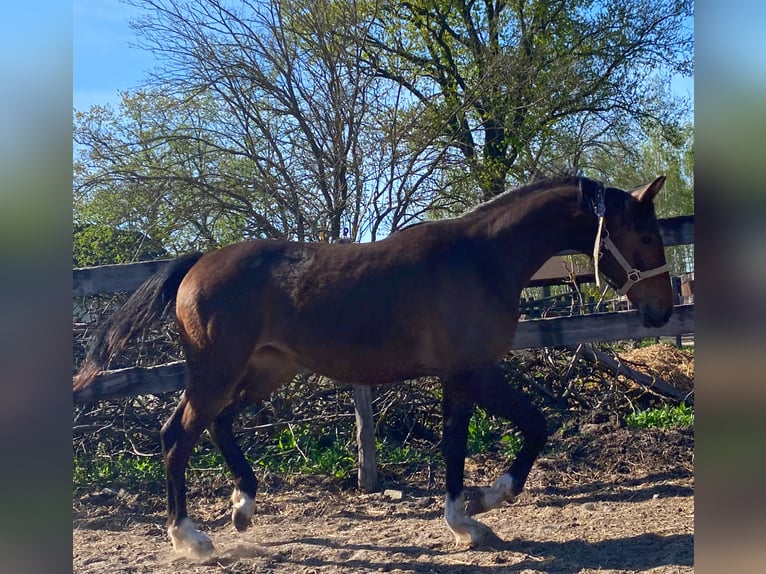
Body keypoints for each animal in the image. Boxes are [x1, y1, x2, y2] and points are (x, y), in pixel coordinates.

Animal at [73, 175, 673, 557]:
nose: (661, 311)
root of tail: (199, 262)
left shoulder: (458, 378)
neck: (482, 259)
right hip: (217, 371)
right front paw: (486, 500)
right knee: (177, 436)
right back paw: (189, 538)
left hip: (267, 370)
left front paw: (465, 522)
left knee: (219, 426)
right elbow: (532, 425)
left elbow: (456, 445)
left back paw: (243, 506)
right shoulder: (475, 371)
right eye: (646, 235)